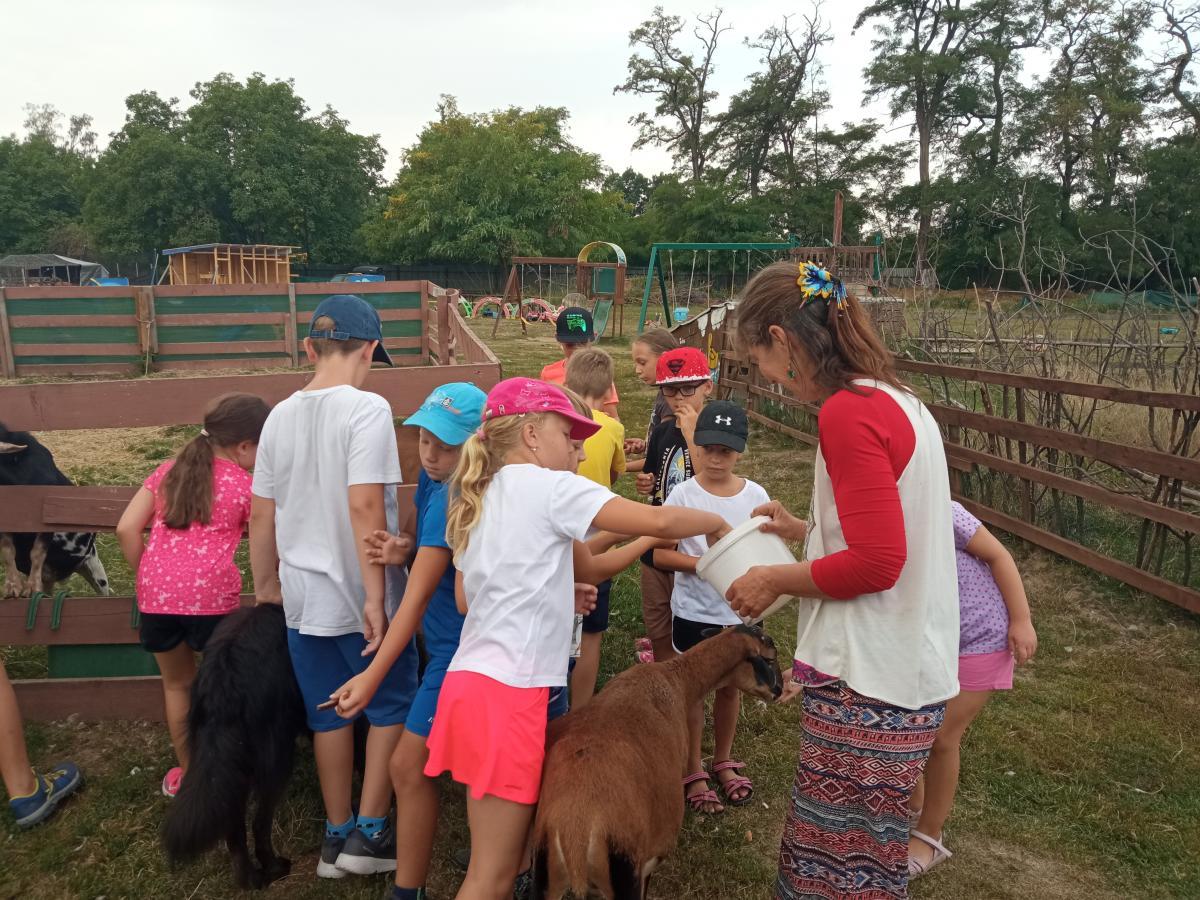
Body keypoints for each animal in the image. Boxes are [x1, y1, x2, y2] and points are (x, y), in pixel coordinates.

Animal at [0, 422, 110, 600]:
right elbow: (8, 552)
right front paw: (12, 588)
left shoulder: (47, 520)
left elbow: (37, 552)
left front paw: (32, 589)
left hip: (95, 568)